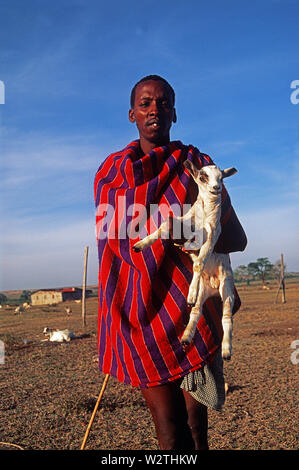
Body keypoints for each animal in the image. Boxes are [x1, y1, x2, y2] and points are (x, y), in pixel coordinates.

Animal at [135, 162, 238, 360]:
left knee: (227, 317)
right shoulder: (186, 222)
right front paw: (140, 244)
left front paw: (189, 293)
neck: (204, 212)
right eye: (202, 176)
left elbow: (199, 263)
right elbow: (165, 225)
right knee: (196, 311)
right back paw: (185, 337)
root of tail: (214, 289)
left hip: (227, 287)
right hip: (203, 292)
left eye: (221, 177)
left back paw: (226, 350)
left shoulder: (212, 235)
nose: (217, 188)